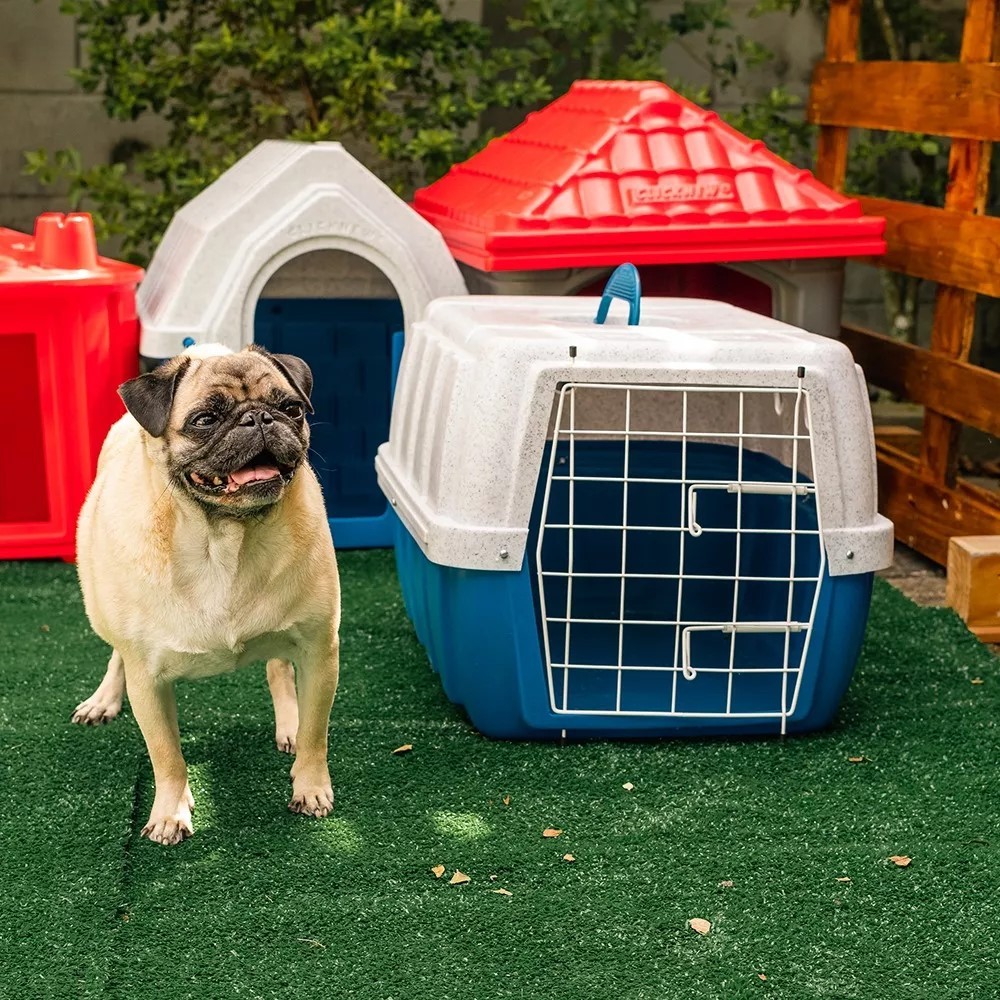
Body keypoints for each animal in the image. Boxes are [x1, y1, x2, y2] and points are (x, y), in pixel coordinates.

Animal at [73, 342, 340, 845]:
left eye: (291, 409)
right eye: (205, 419)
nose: (258, 418)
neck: (224, 537)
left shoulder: (320, 651)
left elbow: (317, 734)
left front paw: (311, 786)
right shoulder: (148, 680)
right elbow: (166, 756)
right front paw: (169, 812)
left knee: (279, 669)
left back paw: (288, 722)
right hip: (101, 611)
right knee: (116, 653)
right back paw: (103, 700)